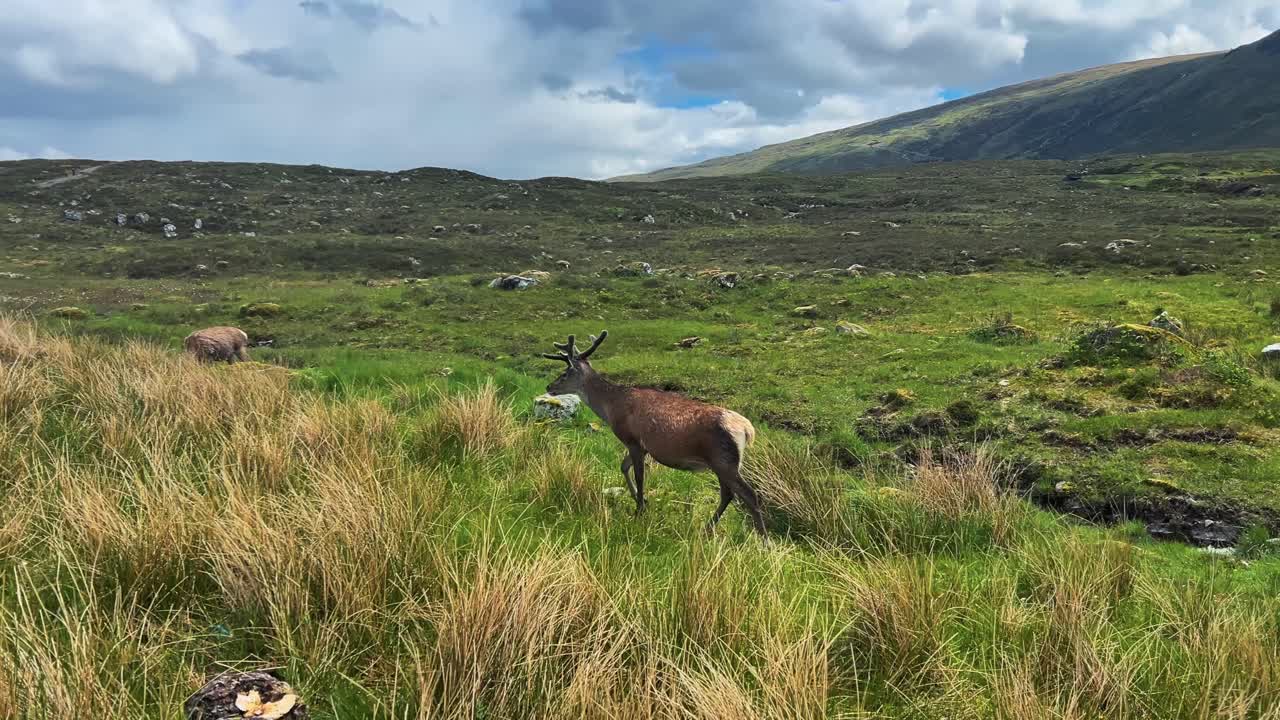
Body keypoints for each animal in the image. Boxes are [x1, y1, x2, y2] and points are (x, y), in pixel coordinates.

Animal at [543, 331, 765, 535]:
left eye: (565, 373)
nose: (549, 386)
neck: (612, 407)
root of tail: (747, 429)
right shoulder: (643, 446)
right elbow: (623, 467)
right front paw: (641, 500)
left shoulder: (632, 439)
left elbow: (639, 475)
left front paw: (639, 509)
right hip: (723, 463)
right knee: (728, 494)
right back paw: (707, 529)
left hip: (724, 461)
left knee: (750, 495)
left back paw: (763, 540)